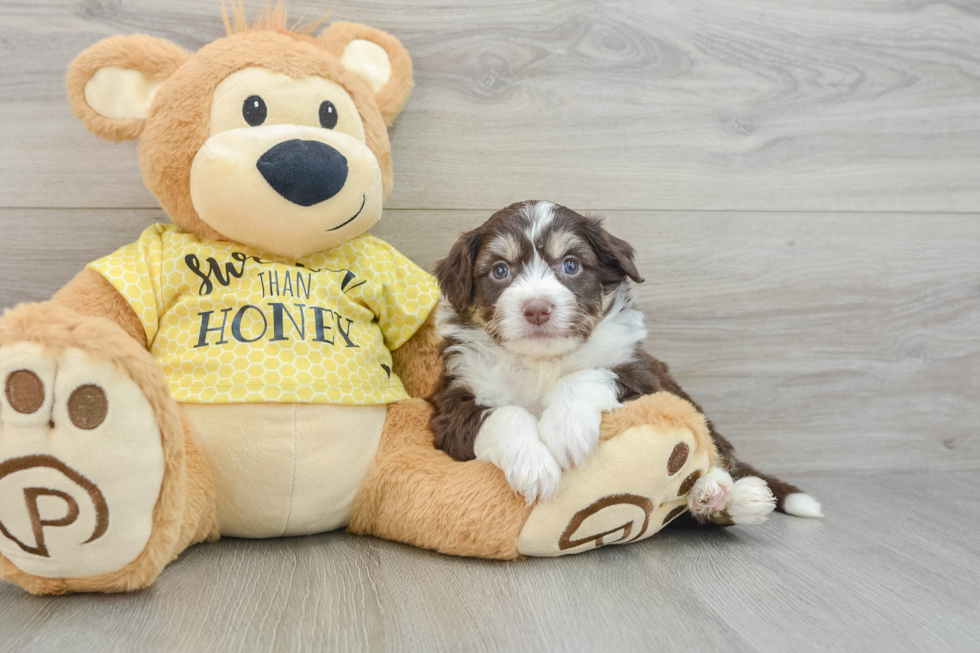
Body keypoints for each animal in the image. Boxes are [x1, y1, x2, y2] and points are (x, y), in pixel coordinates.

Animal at [428, 199, 820, 524]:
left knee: (717, 457)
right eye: (499, 271)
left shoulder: (643, 374)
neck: (543, 361)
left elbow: (588, 375)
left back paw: (728, 494)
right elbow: (504, 414)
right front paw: (534, 464)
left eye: (571, 265)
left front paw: (566, 429)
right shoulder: (451, 404)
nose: (537, 308)